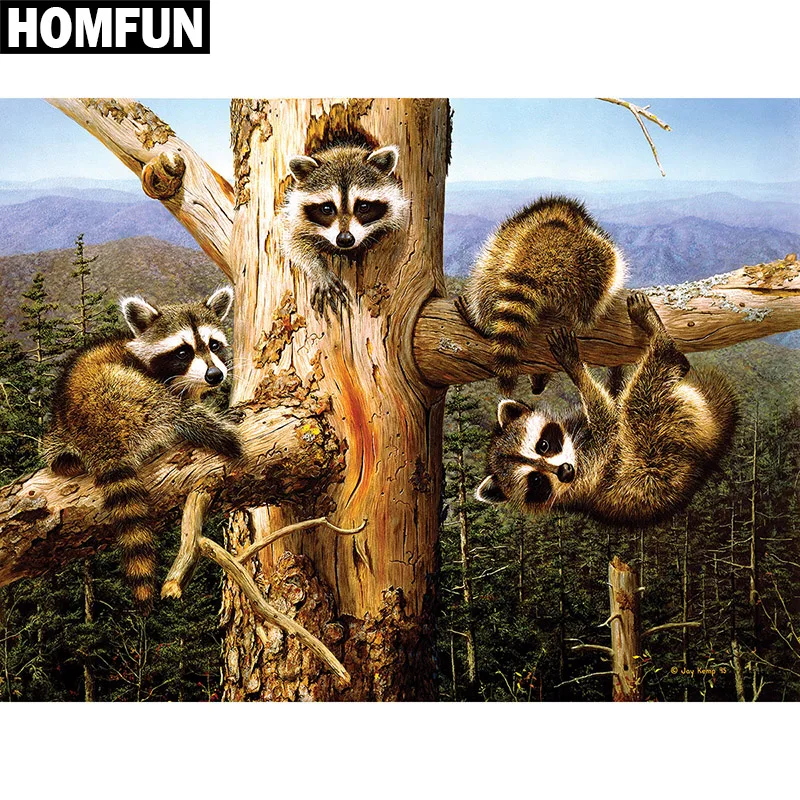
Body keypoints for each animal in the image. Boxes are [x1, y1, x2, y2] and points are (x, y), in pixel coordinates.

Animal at [42, 287, 242, 611]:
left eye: (214, 345)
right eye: (183, 352)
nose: (215, 375)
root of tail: (96, 430)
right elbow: (181, 404)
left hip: (59, 431)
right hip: (125, 397)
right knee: (171, 411)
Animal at [283, 143, 410, 316]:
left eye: (363, 206)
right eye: (326, 208)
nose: (344, 239)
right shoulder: (295, 220)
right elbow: (294, 242)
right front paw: (319, 269)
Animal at [475, 292, 738, 527]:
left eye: (544, 445)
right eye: (537, 481)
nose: (565, 471)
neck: (575, 447)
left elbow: (611, 399)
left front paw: (611, 372)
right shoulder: (589, 474)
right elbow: (609, 424)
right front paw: (575, 369)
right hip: (654, 451)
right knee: (639, 398)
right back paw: (663, 345)